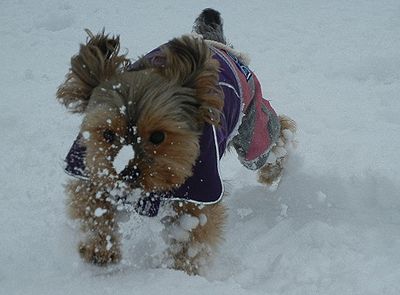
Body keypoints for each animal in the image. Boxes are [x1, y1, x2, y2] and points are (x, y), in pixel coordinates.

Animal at [57, 8, 296, 276]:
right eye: (107, 134)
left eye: (158, 136)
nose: (127, 173)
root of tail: (214, 42)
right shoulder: (91, 167)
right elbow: (91, 204)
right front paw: (100, 248)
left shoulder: (201, 186)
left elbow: (191, 232)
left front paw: (181, 270)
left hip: (250, 122)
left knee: (273, 135)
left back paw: (273, 170)